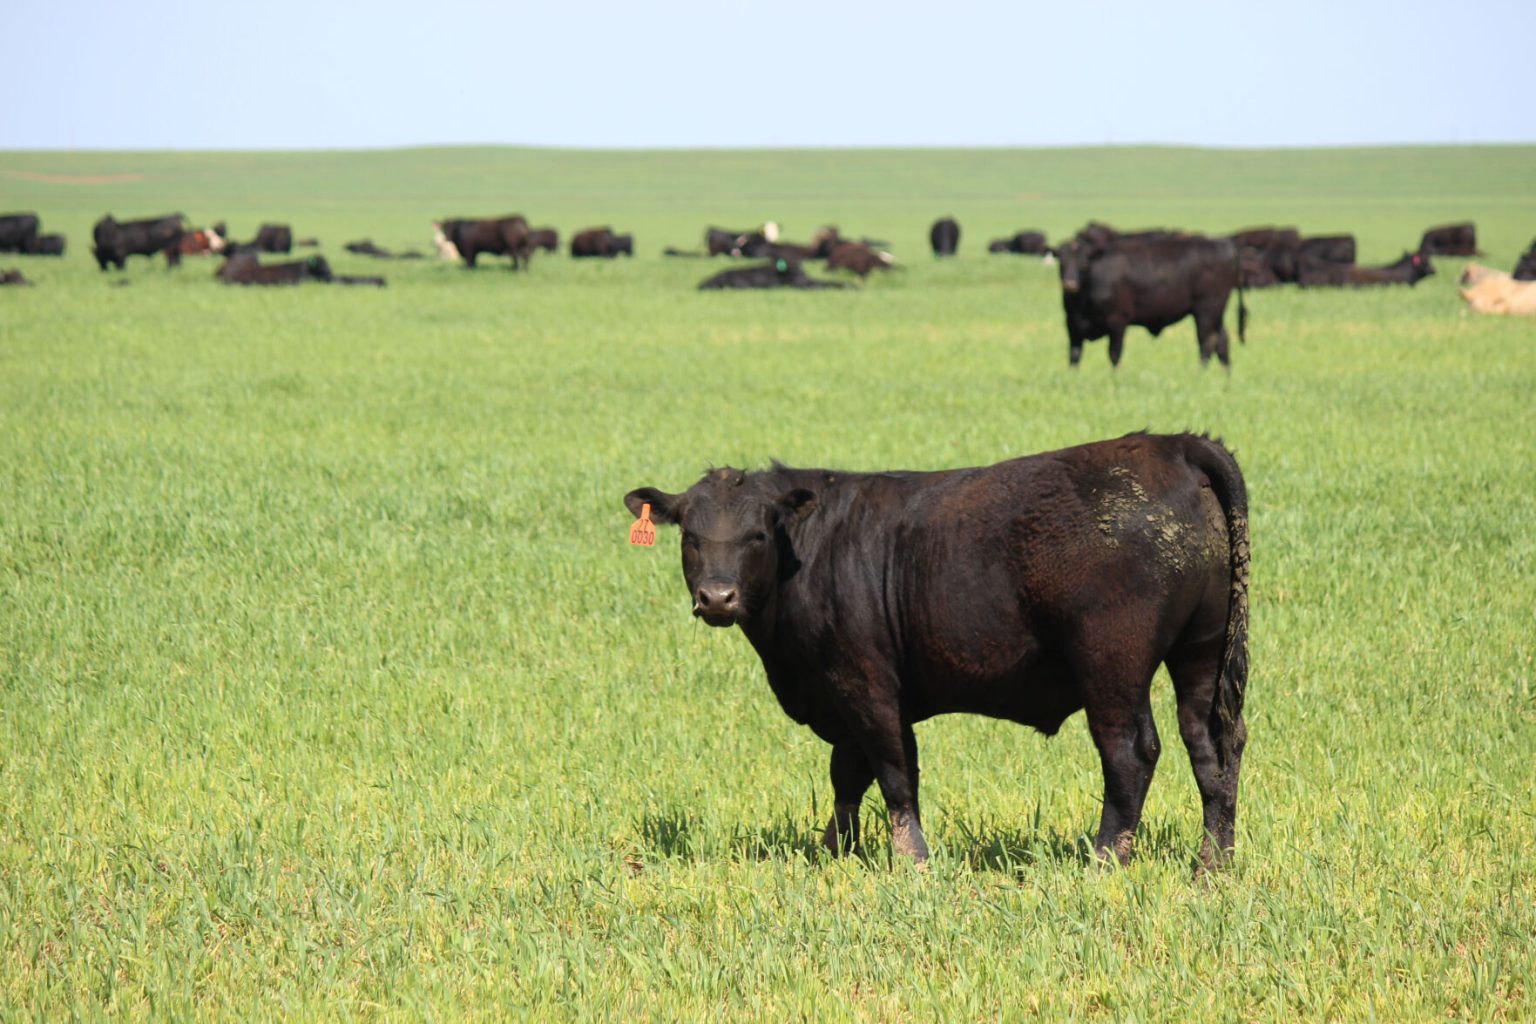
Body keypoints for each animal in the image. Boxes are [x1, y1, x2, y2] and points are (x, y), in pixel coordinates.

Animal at [623, 432, 1247, 872]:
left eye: (756, 535)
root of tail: (1174, 445)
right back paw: (1211, 866)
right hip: (1201, 654)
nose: (717, 597)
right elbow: (847, 776)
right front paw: (835, 852)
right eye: (690, 537)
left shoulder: (868, 685)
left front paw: (913, 860)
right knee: (1213, 748)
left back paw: (1103, 861)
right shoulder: (841, 694)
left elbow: (895, 772)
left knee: (1130, 753)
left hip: (1111, 663)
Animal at [1056, 234, 1247, 369]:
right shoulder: (1072, 325)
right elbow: (1074, 356)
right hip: (1215, 313)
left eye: (1084, 262)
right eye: (1061, 262)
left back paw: (1200, 373)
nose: (1069, 283)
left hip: (1206, 311)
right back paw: (1226, 375)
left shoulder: (1117, 322)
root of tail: (1225, 245)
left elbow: (1114, 354)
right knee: (1222, 341)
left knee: (1206, 342)